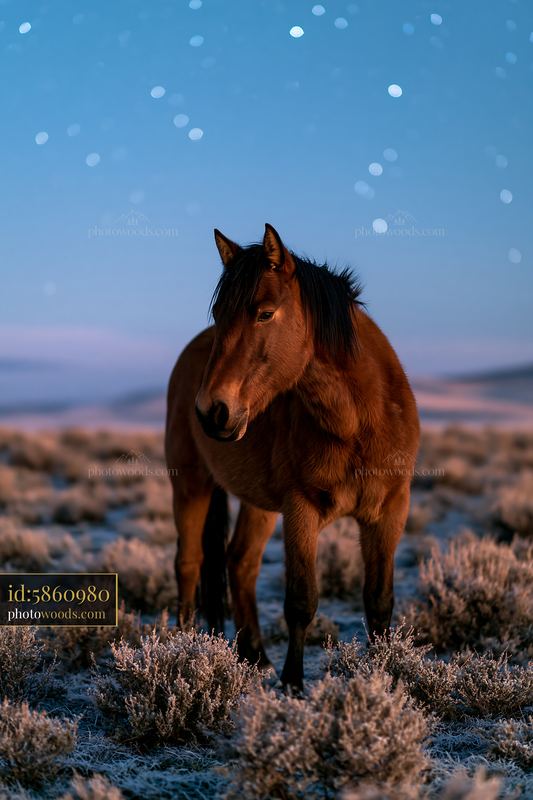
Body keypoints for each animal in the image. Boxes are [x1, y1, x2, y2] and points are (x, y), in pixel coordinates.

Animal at [165, 223, 420, 690]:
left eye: (264, 314)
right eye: (219, 315)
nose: (212, 411)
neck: (357, 421)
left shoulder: (390, 510)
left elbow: (379, 601)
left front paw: (383, 674)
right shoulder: (301, 508)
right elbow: (301, 600)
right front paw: (293, 684)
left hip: (258, 503)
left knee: (240, 562)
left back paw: (254, 654)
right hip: (190, 484)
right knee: (189, 564)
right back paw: (184, 649)